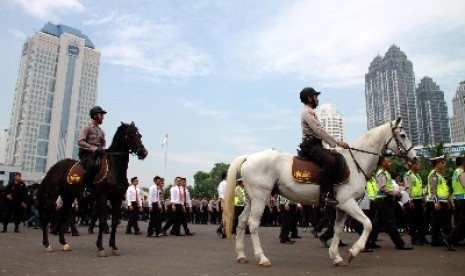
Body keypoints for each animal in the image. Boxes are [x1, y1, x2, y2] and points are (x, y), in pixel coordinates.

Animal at [38, 122, 147, 256]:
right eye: (131, 135)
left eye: (139, 135)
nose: (143, 152)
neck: (114, 168)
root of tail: (54, 167)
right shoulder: (102, 196)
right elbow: (102, 221)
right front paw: (100, 247)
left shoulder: (117, 198)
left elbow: (114, 222)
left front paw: (114, 246)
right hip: (52, 195)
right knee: (46, 217)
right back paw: (47, 244)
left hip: (68, 196)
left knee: (62, 217)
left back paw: (64, 243)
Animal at [223, 117, 416, 266]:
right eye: (403, 135)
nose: (414, 158)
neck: (356, 163)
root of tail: (248, 157)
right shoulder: (348, 202)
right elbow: (368, 224)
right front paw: (354, 251)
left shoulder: (341, 206)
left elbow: (338, 229)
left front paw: (336, 256)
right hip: (260, 198)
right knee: (253, 224)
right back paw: (262, 258)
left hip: (251, 199)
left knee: (241, 221)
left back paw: (241, 255)